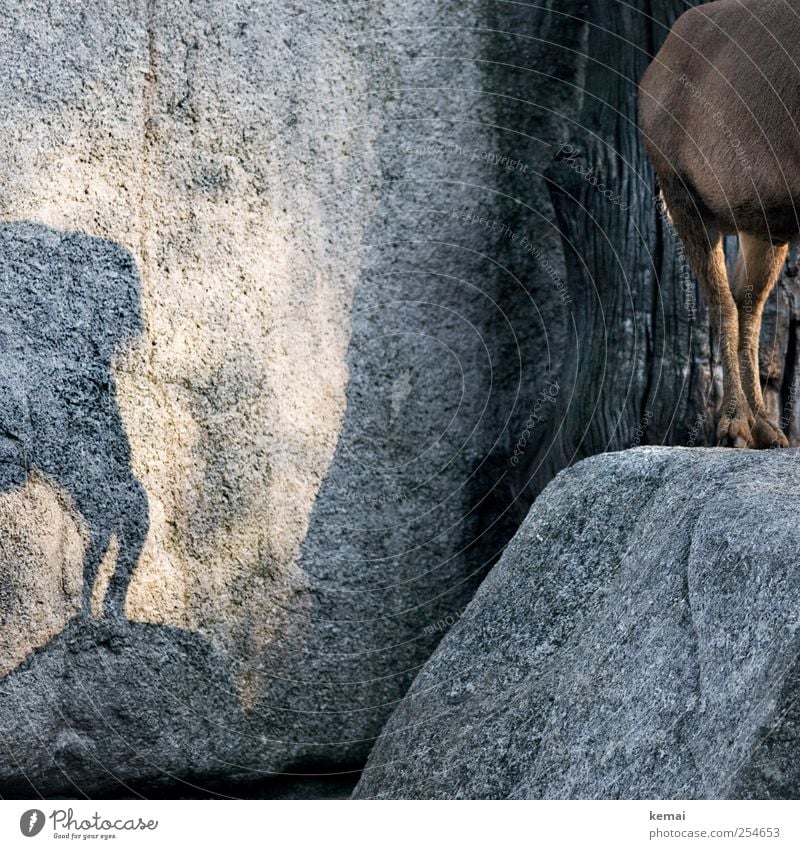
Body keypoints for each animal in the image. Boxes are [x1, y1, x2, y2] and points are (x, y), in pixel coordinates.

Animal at [640, 0, 800, 448]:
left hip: (763, 225)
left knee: (749, 305)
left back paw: (767, 430)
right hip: (683, 197)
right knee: (723, 303)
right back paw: (737, 426)